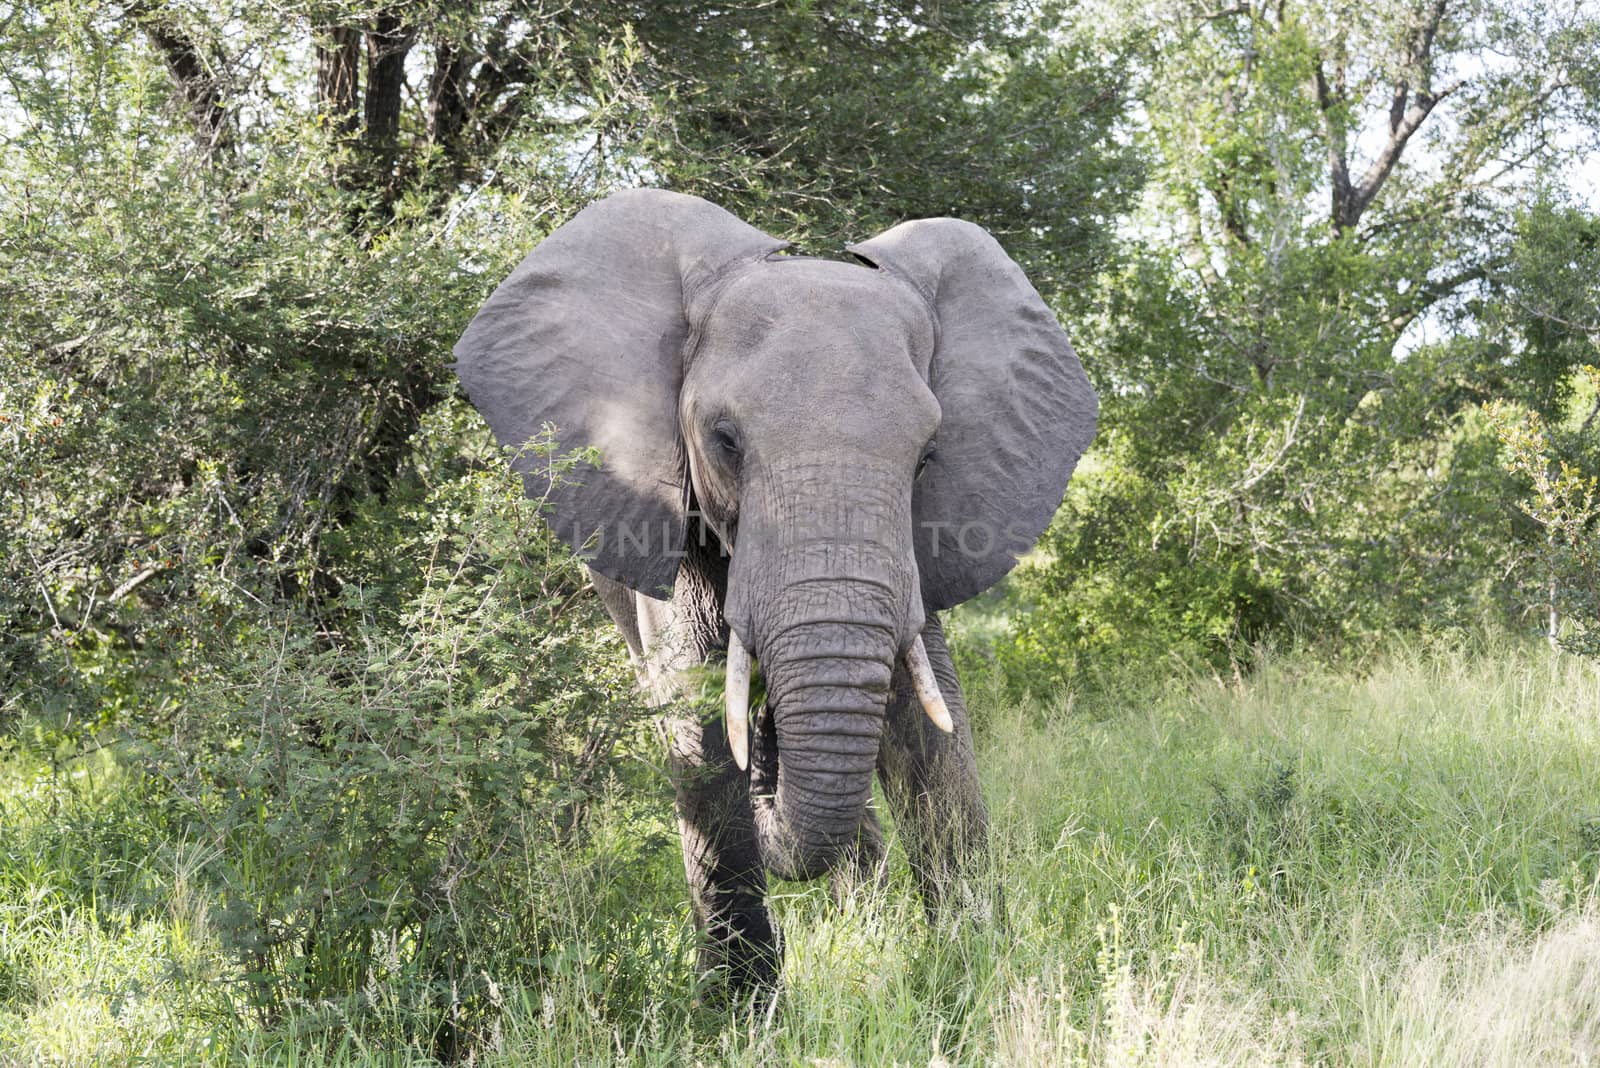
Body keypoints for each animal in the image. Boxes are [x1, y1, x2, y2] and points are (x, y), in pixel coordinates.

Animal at [451, 187, 1100, 997]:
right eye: (725, 440)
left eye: (928, 456)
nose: (765, 744)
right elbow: (695, 714)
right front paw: (740, 1006)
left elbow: (926, 718)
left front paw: (979, 972)